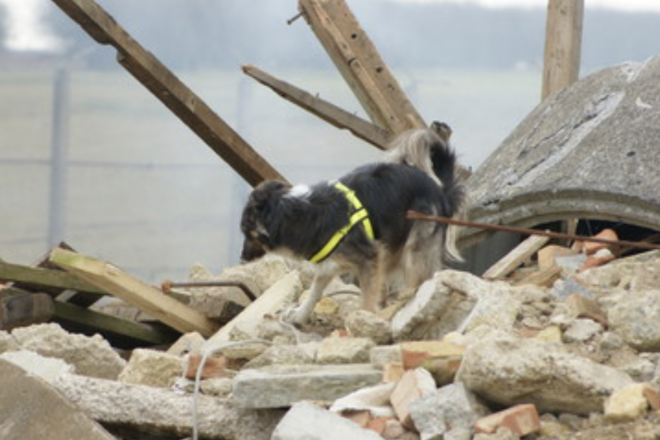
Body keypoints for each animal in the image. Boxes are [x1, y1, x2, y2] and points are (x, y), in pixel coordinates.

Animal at [240, 125, 462, 324]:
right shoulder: (331, 263)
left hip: (415, 252)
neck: (298, 211)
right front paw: (300, 315)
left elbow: (367, 299)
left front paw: (364, 320)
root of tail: (440, 189)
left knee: (421, 279)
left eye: (247, 234)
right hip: (391, 250)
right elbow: (315, 290)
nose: (241, 260)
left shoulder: (369, 259)